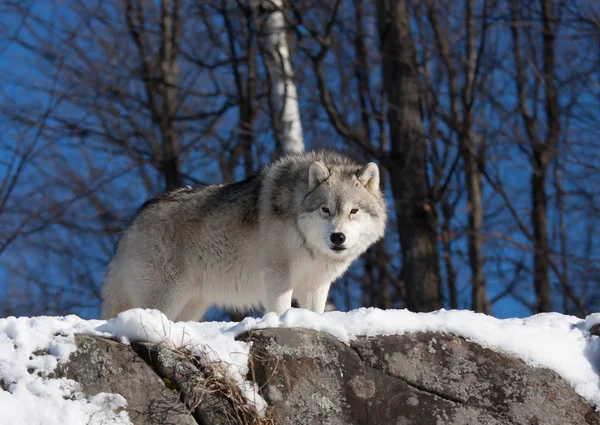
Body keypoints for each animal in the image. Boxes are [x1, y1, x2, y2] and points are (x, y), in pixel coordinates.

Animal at [101, 151, 386, 320]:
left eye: (353, 211)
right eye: (325, 209)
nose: (338, 237)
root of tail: (131, 225)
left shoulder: (316, 284)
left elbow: (315, 312)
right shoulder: (278, 275)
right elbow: (280, 309)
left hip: (191, 306)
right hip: (165, 298)